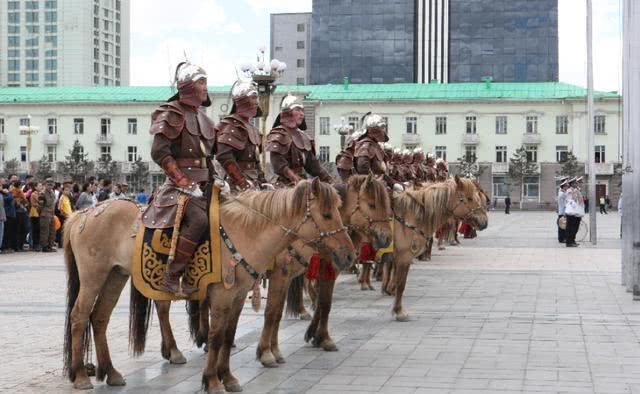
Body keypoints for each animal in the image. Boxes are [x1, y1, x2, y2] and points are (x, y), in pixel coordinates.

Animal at [61, 180, 356, 392]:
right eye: (327, 214)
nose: (349, 255)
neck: (245, 232)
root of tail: (82, 214)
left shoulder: (238, 296)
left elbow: (229, 334)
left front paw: (228, 377)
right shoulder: (224, 295)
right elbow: (216, 335)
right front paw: (212, 381)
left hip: (115, 275)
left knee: (99, 318)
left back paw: (111, 372)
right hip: (93, 276)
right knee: (79, 317)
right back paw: (81, 375)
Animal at [254, 174, 392, 368]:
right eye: (372, 204)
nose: (387, 237)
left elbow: (319, 303)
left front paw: (315, 336)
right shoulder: (285, 275)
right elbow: (278, 311)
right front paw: (322, 338)